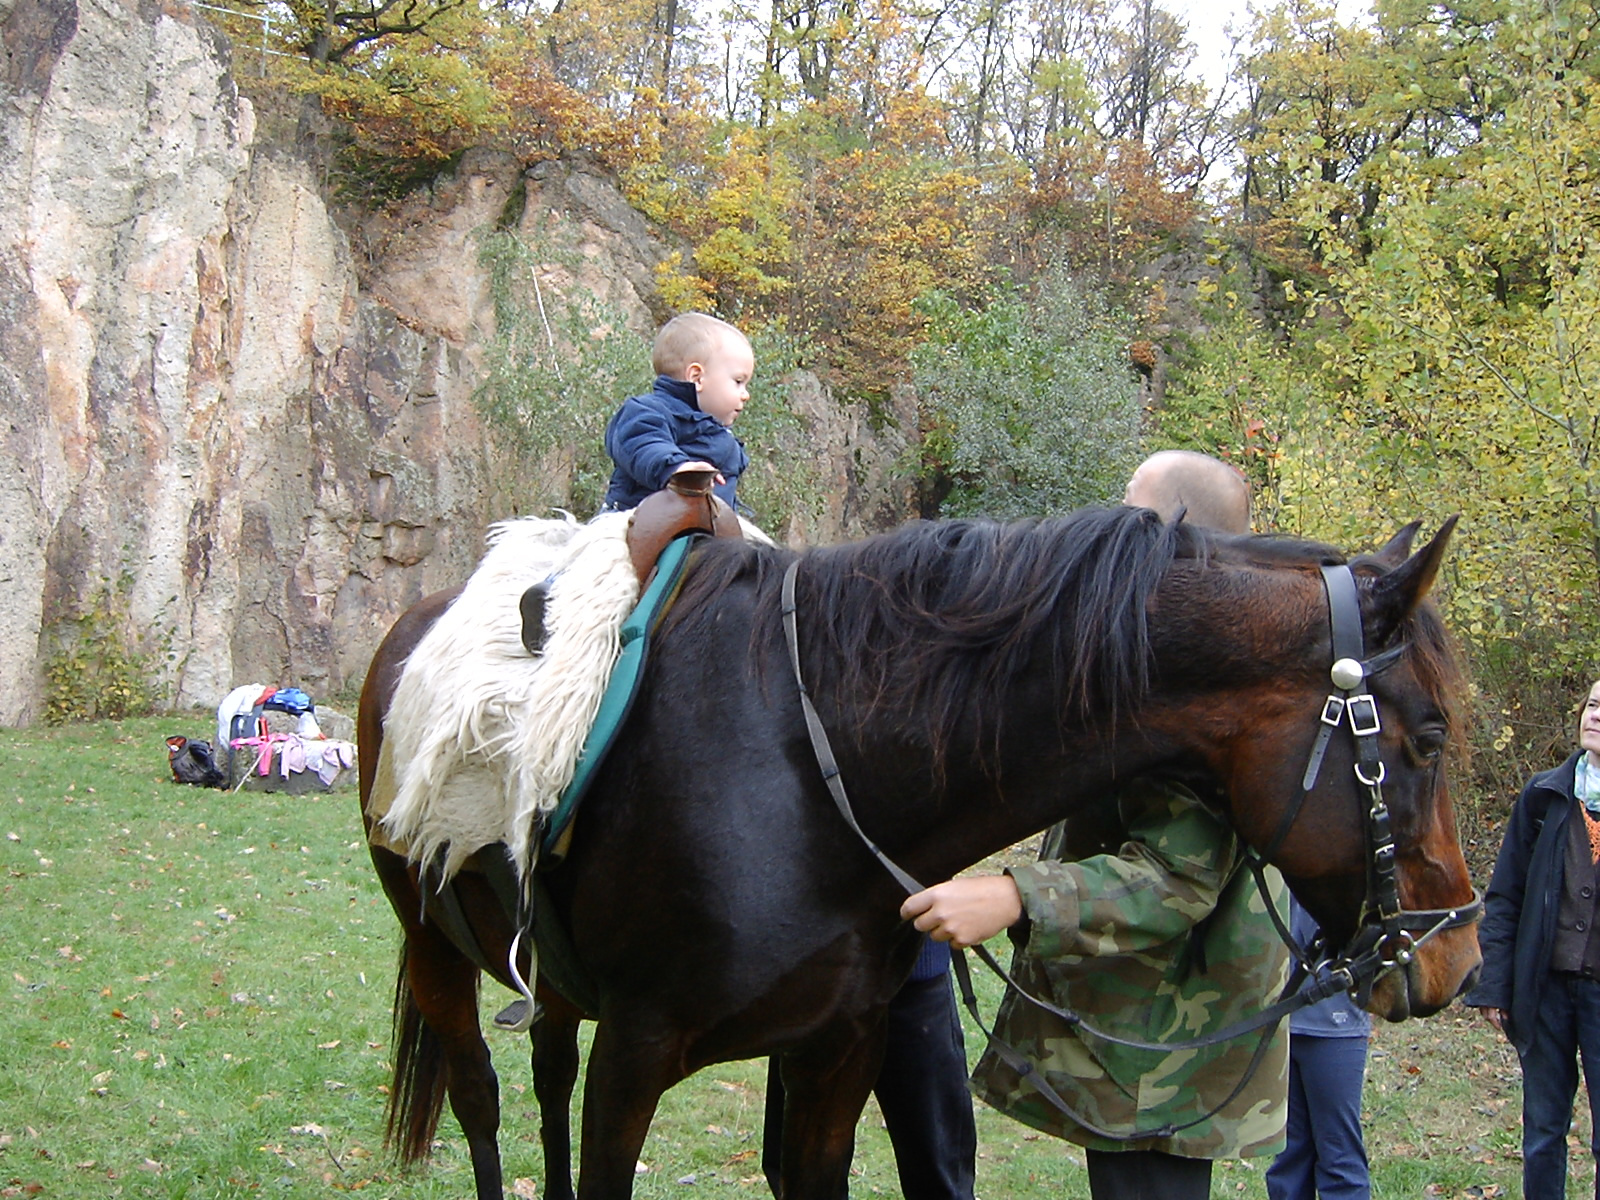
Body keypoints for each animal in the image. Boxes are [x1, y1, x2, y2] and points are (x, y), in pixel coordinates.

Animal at [356, 508, 1478, 1200]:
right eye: (1425, 741)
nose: (1459, 956)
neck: (804, 767)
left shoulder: (834, 1053)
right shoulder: (634, 1055)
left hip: (544, 980)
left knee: (541, 1077)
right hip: (433, 949)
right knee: (481, 1105)